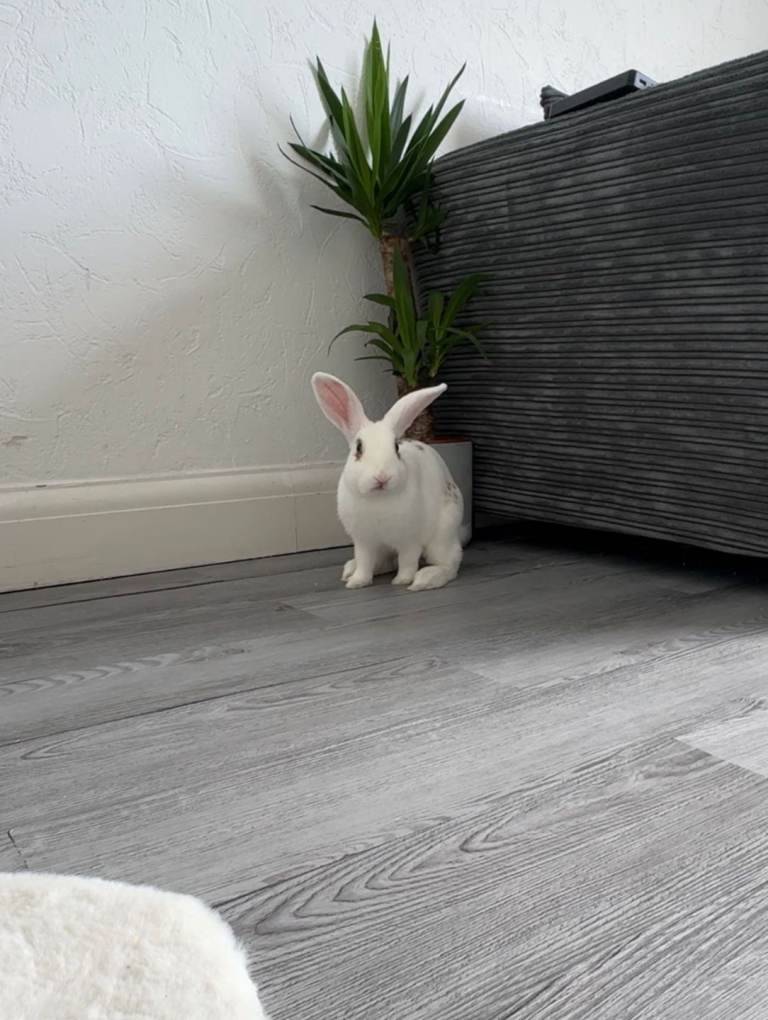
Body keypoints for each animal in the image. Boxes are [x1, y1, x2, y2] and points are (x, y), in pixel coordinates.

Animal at [311, 372, 465, 591]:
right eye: (358, 448)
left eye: (396, 448)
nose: (382, 476)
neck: (379, 498)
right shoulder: (364, 542)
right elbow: (365, 562)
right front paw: (357, 582)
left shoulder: (409, 540)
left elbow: (408, 562)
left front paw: (403, 581)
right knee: (384, 562)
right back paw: (350, 570)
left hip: (442, 534)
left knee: (450, 564)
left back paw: (425, 579)